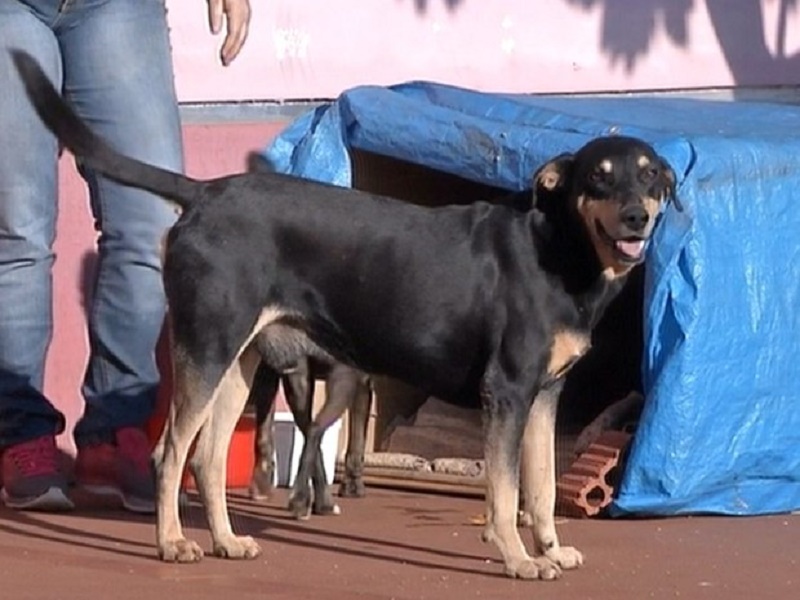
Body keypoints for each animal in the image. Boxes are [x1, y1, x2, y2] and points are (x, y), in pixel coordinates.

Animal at [14, 52, 676, 580]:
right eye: (599, 178)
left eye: (651, 177)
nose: (639, 216)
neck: (561, 250)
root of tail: (200, 192)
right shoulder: (508, 391)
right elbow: (505, 487)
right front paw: (516, 558)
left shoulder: (544, 396)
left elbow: (539, 487)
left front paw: (551, 549)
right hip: (206, 348)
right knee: (170, 453)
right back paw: (172, 543)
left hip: (238, 361)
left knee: (205, 457)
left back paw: (226, 540)